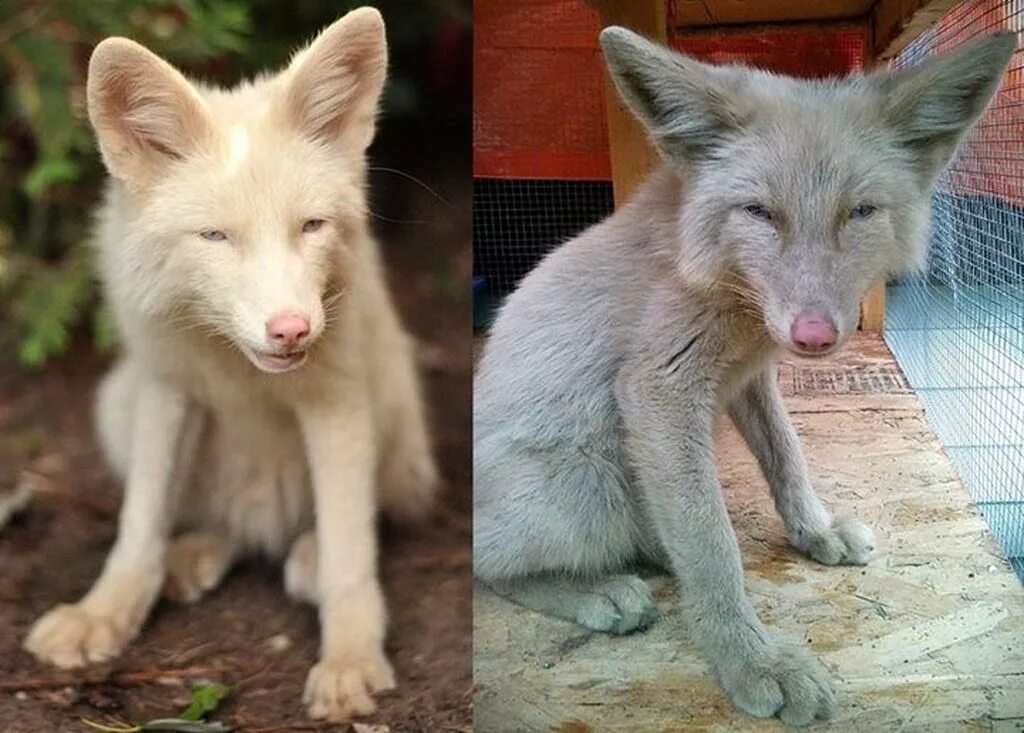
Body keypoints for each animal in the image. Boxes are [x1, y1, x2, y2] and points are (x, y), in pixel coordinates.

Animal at [22, 8, 434, 720]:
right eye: (215, 237)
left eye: (312, 226)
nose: (291, 329)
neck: (235, 364)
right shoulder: (168, 389)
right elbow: (138, 526)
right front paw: (104, 614)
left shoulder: (337, 404)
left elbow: (351, 556)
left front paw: (349, 661)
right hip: (118, 403)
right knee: (218, 523)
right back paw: (197, 553)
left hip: (394, 411)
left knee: (347, 524)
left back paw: (302, 555)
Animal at [473, 25, 1015, 724]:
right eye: (759, 212)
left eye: (861, 212)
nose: (814, 335)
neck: (728, 291)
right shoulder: (661, 388)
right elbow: (713, 546)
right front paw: (750, 659)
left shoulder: (749, 378)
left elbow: (787, 460)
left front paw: (813, 532)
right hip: (590, 485)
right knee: (486, 566)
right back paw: (597, 593)